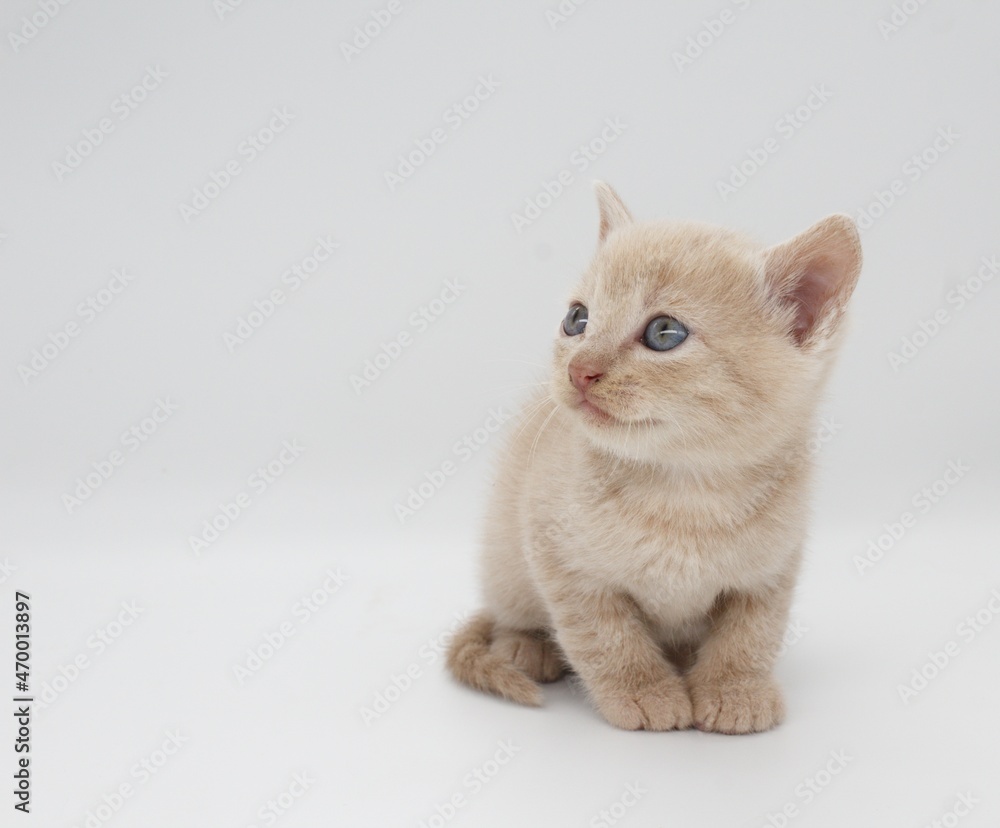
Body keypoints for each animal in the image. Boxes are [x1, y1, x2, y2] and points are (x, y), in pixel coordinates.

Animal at [446, 184, 860, 736]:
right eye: (577, 319)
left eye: (665, 332)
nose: (579, 370)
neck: (684, 490)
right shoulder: (559, 557)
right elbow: (605, 637)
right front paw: (644, 693)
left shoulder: (770, 569)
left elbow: (752, 635)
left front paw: (735, 691)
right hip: (504, 557)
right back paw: (526, 645)